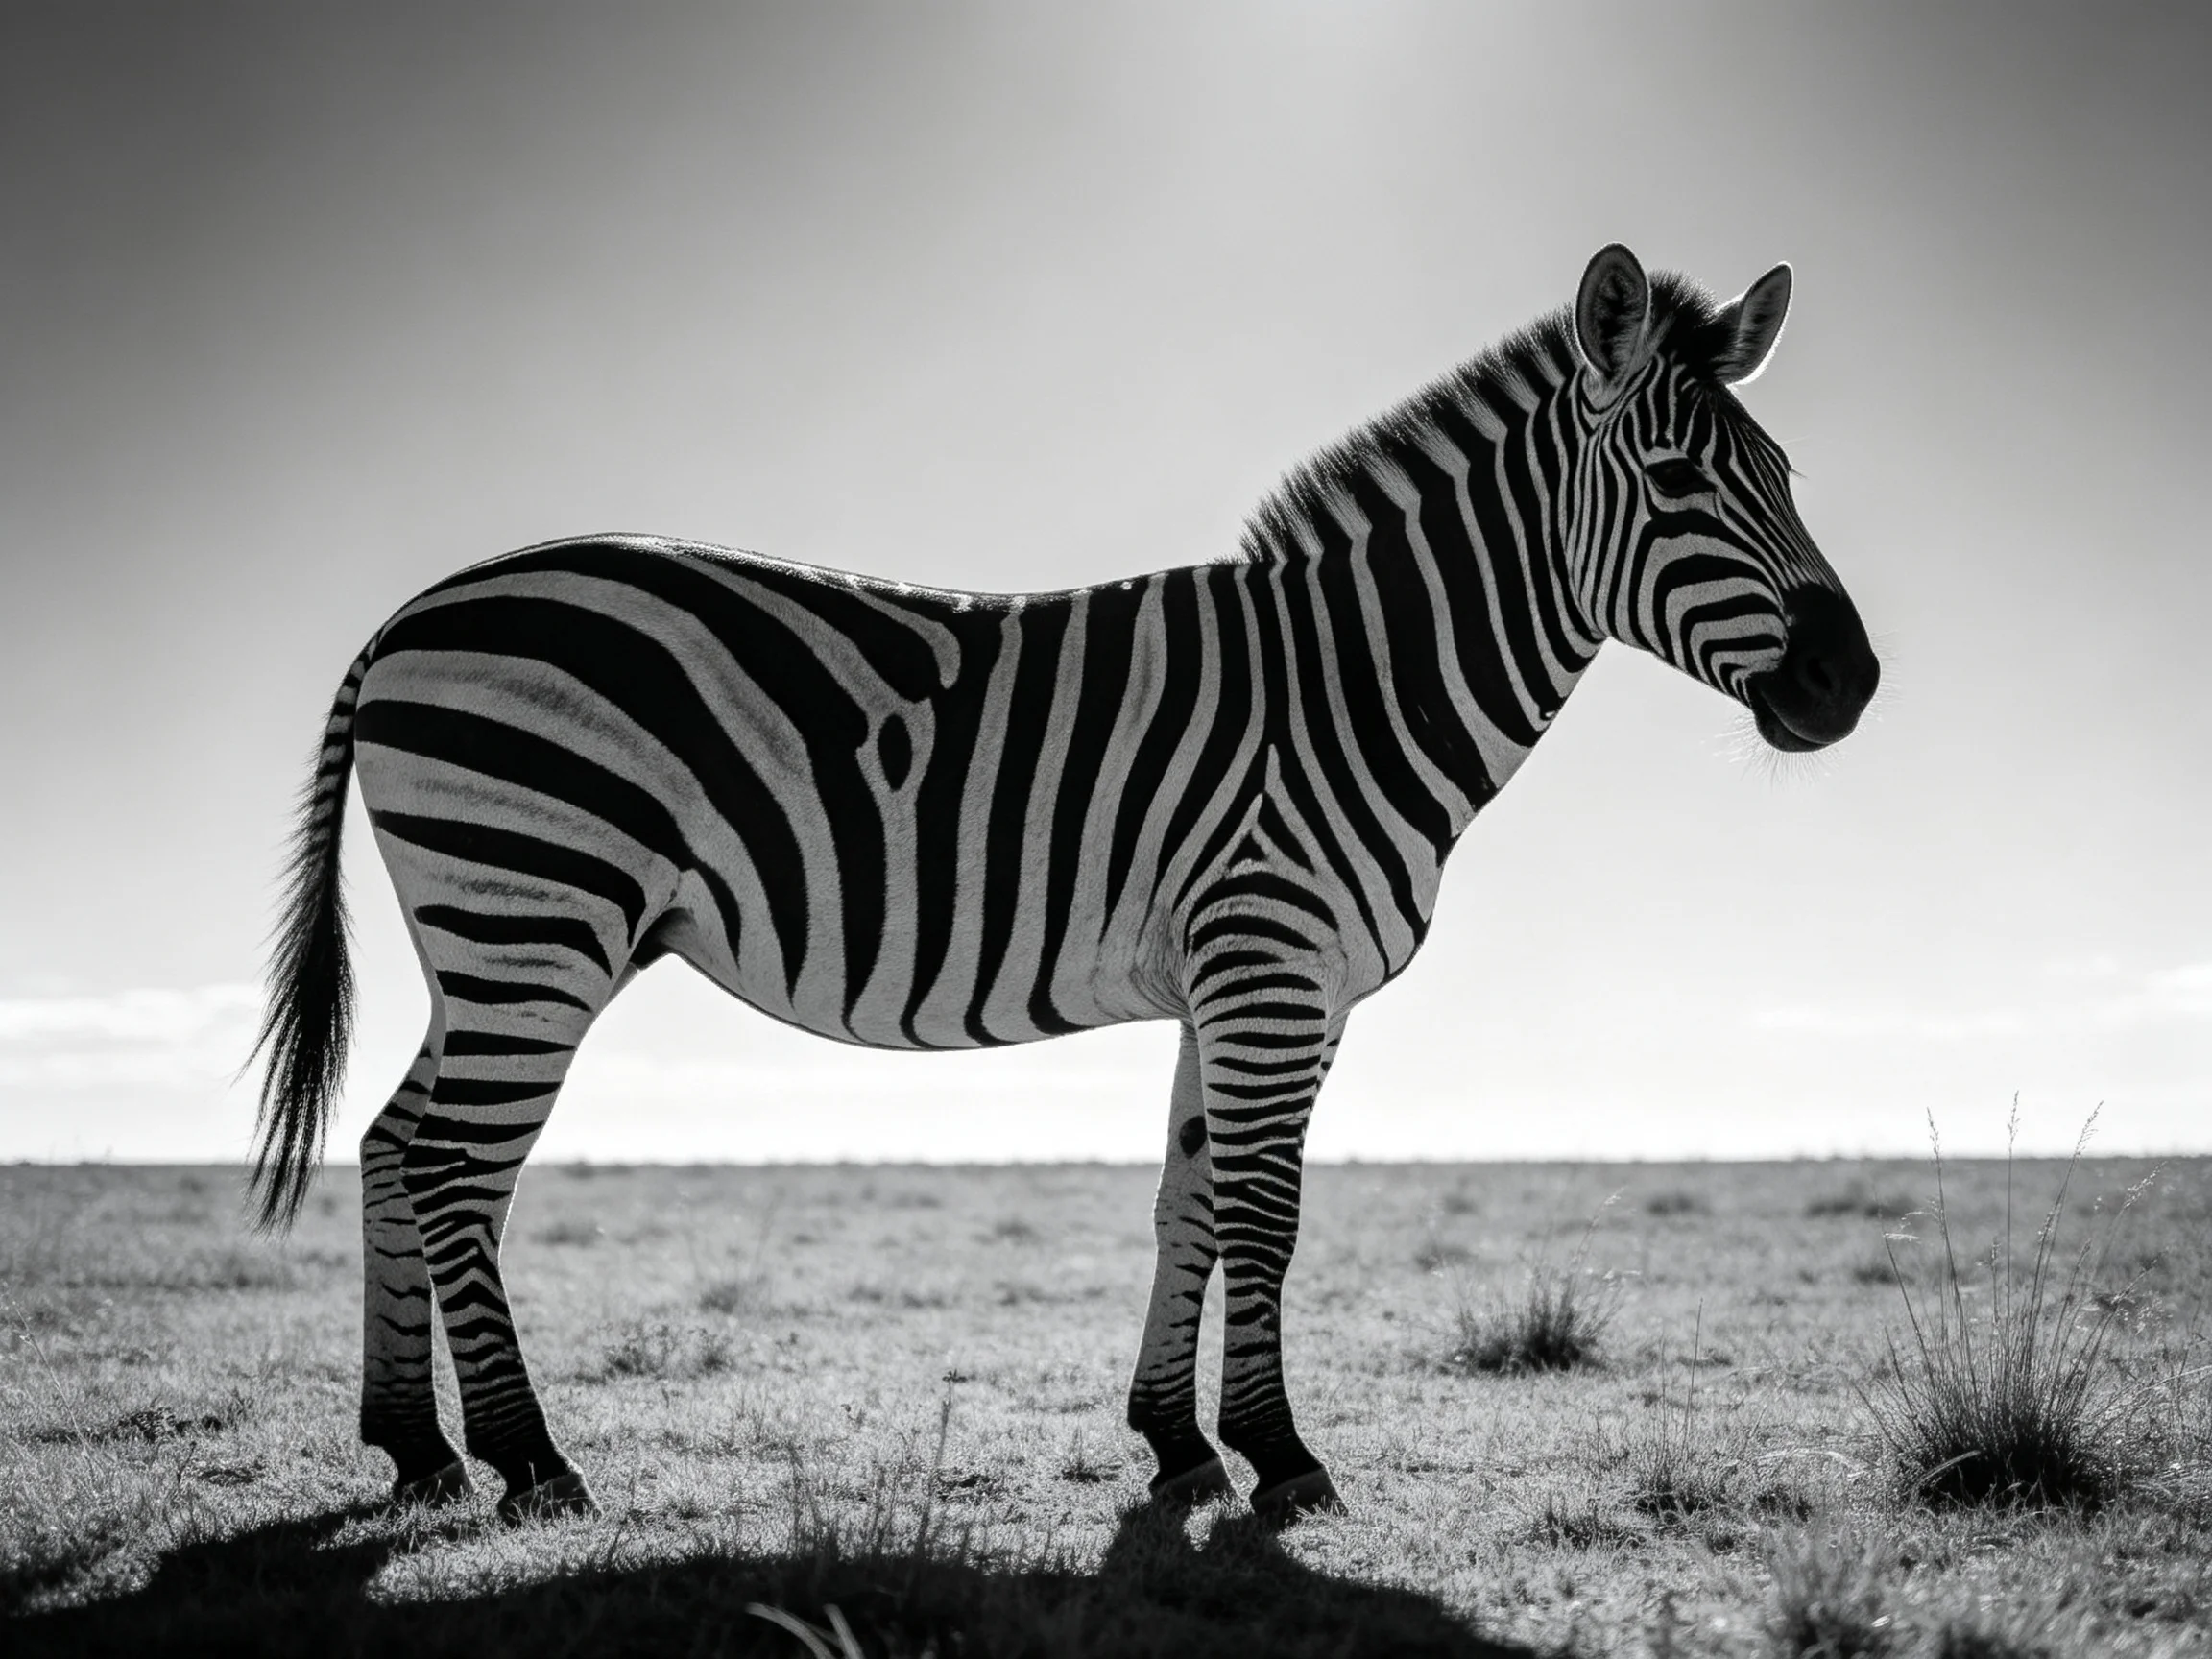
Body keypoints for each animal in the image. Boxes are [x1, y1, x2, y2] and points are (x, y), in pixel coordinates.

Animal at [250, 243, 1877, 1524]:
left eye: (1788, 477)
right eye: (1677, 479)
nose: (1849, 684)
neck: (1355, 687)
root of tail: (408, 616)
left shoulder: (1228, 982)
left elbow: (1189, 1204)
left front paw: (1178, 1446)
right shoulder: (1274, 963)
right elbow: (1264, 1213)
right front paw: (1284, 1458)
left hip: (493, 933)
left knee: (394, 1147)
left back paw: (415, 1452)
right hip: (540, 910)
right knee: (457, 1169)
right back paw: (532, 1464)